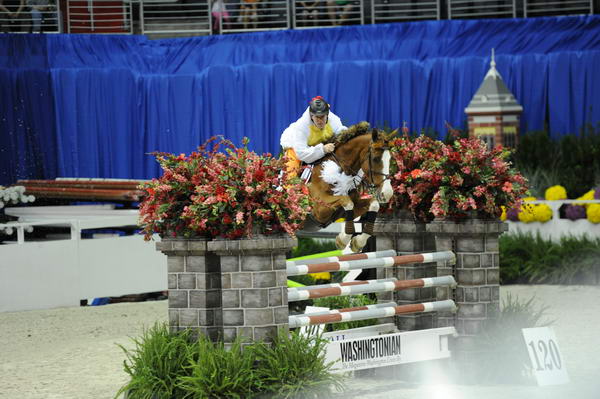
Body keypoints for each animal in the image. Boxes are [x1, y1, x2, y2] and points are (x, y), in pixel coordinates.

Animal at [302, 122, 396, 253]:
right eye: (375, 159)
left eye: (390, 159)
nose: (387, 193)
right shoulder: (319, 210)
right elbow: (346, 201)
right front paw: (342, 240)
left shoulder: (352, 207)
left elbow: (373, 204)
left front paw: (357, 242)